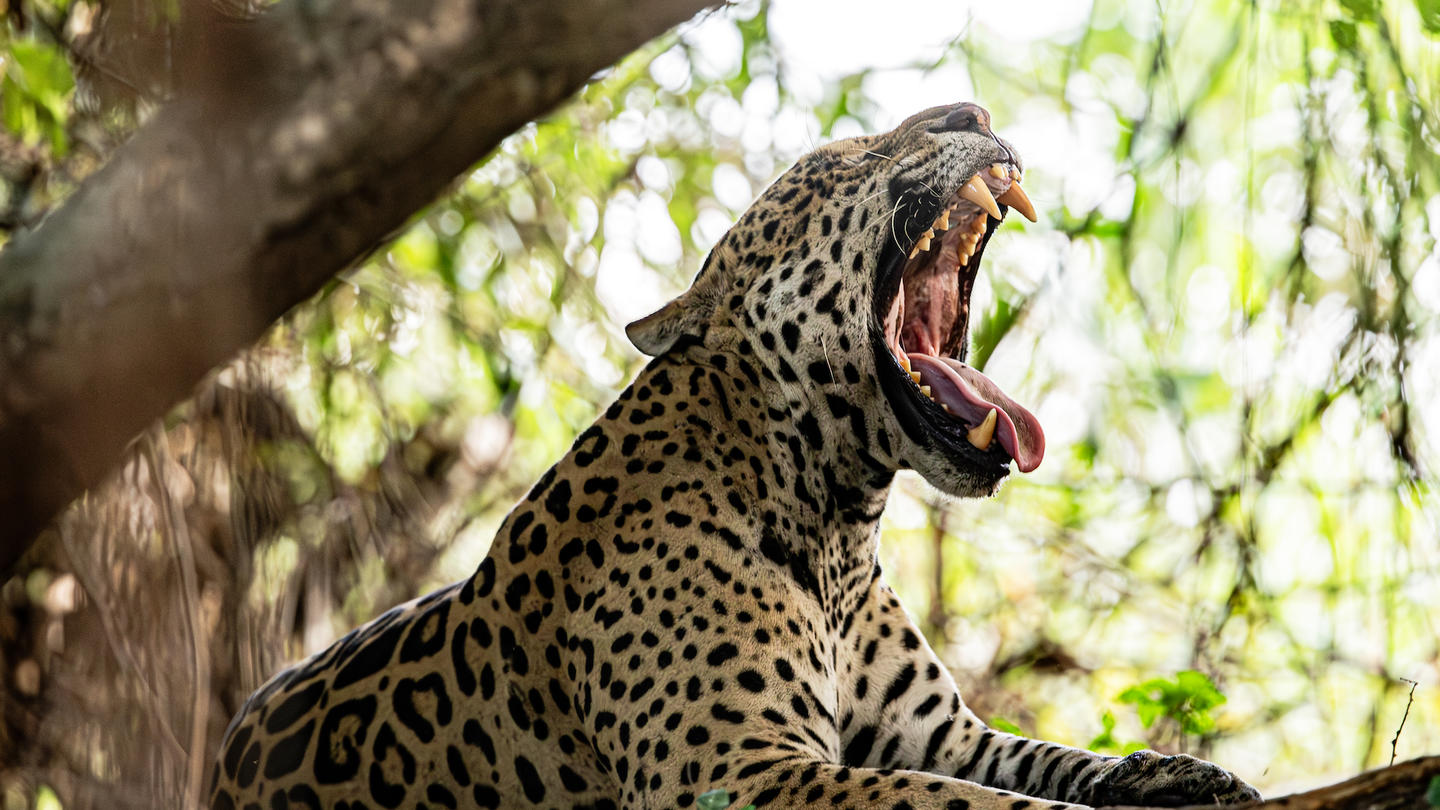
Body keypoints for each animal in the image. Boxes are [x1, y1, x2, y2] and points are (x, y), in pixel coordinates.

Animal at [209, 101, 1262, 810]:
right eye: (846, 159)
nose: (975, 113)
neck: (841, 524)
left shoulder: (944, 737)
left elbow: (1053, 763)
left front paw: (1186, 774)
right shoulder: (735, 771)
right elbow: (984, 807)